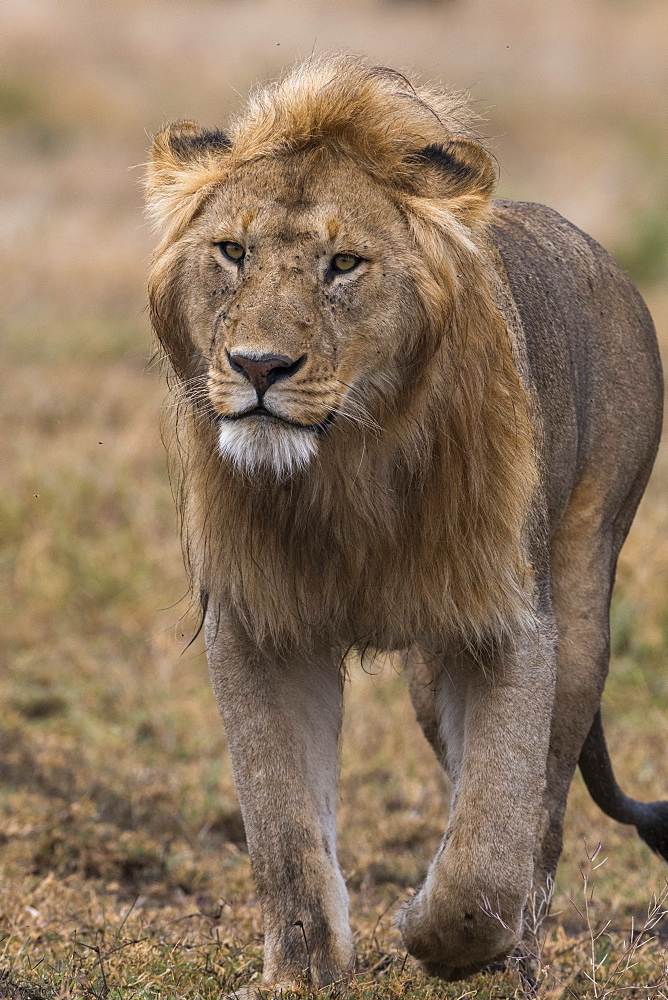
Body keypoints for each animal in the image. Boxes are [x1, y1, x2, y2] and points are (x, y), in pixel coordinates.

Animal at [145, 54, 664, 992]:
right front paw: (299, 974)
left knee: (543, 814)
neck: (343, 468)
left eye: (344, 264)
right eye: (233, 251)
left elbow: (490, 844)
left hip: (580, 598)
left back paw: (518, 961)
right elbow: (284, 833)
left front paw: (439, 932)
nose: (259, 366)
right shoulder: (260, 628)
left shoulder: (509, 624)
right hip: (429, 676)